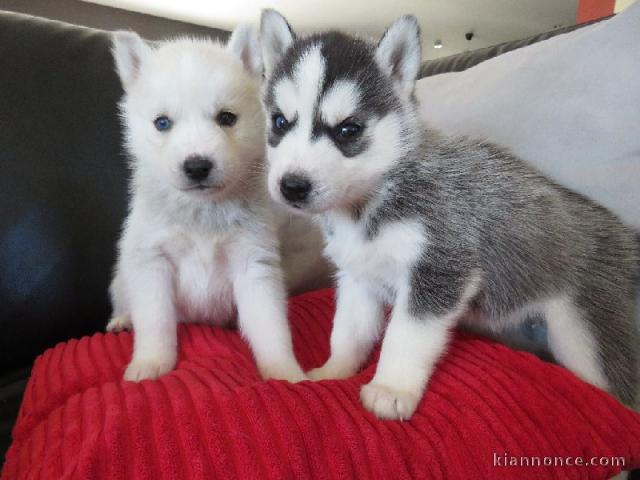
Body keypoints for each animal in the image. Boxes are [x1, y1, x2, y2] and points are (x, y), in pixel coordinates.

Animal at [109, 28, 324, 384]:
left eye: (226, 118)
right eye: (162, 123)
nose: (197, 166)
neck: (203, 213)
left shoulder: (253, 264)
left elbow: (271, 327)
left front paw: (284, 372)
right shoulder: (152, 263)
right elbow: (155, 321)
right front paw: (150, 362)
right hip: (122, 279)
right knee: (123, 301)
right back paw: (122, 319)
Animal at [258, 11, 636, 420]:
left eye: (348, 129)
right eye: (279, 122)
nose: (292, 186)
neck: (371, 200)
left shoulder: (441, 269)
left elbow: (405, 336)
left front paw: (391, 388)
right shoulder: (359, 276)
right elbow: (347, 332)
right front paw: (331, 373)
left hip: (586, 341)